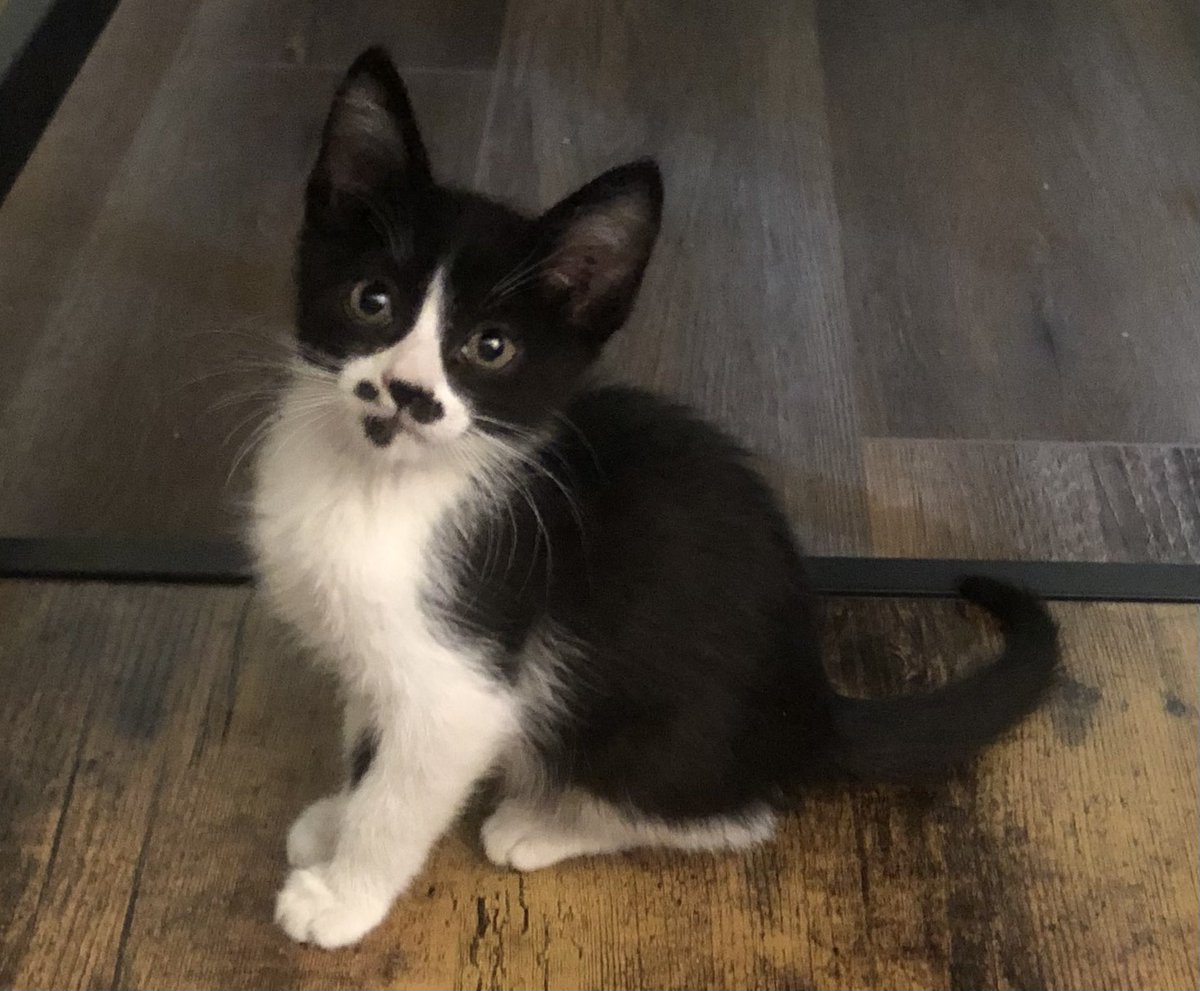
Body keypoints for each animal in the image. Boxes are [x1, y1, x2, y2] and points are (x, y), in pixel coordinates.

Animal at [248, 50, 1056, 945]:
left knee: (736, 813)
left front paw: (343, 891)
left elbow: (399, 793)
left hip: (653, 723)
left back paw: (547, 821)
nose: (405, 391)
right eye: (371, 300)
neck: (371, 482)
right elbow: (366, 735)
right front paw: (334, 815)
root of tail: (813, 708)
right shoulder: (375, 649)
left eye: (490, 347)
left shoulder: (463, 681)